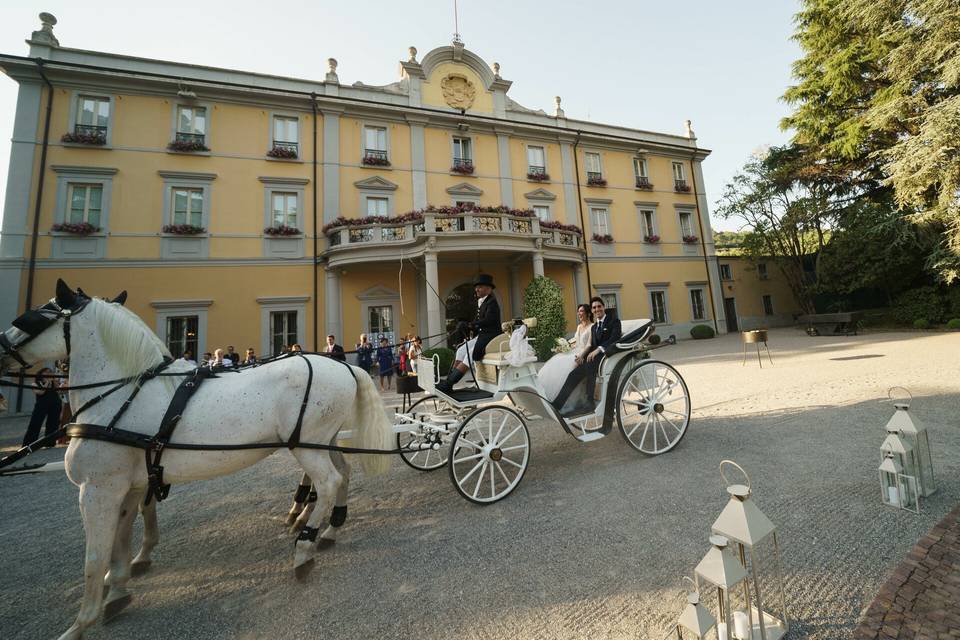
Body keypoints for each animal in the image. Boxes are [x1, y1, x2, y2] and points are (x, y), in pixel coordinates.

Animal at [0, 282, 392, 640]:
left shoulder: (99, 489)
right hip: (318, 440)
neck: (124, 392)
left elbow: (94, 560)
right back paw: (328, 527)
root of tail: (342, 366)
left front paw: (82, 622)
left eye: (31, 317)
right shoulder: (129, 484)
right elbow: (120, 541)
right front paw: (120, 585)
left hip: (309, 445)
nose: (1, 345)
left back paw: (305, 547)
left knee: (328, 482)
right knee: (342, 474)